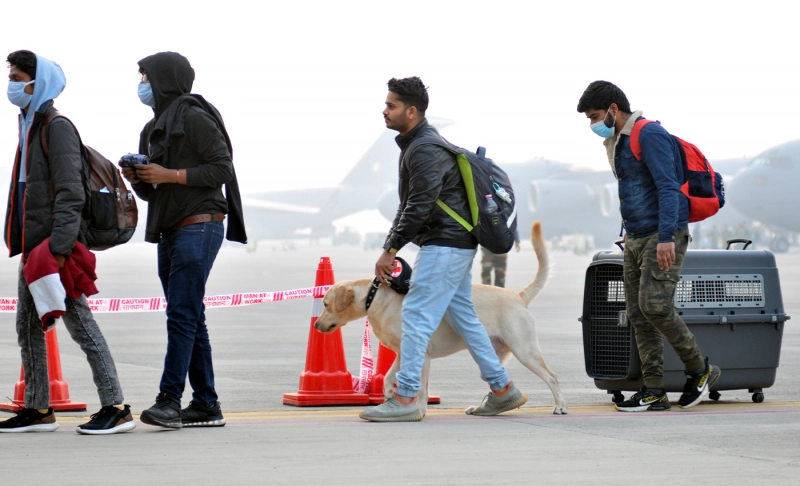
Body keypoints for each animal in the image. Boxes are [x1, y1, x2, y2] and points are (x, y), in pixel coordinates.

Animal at [316, 222, 564, 416]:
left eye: (325, 304)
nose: (317, 325)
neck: (375, 297)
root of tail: (519, 296)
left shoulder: (422, 354)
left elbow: (421, 390)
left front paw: (418, 410)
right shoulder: (402, 352)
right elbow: (388, 377)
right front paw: (387, 395)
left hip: (525, 350)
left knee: (552, 377)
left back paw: (560, 406)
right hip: (491, 351)